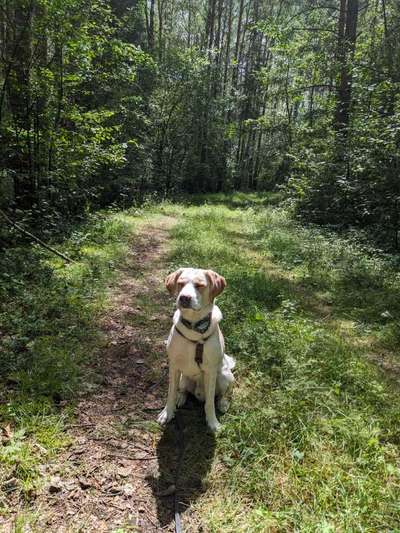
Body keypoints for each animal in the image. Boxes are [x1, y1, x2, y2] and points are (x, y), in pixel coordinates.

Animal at [158, 268, 236, 430]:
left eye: (200, 285)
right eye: (180, 283)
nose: (184, 298)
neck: (194, 329)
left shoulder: (211, 371)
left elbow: (210, 403)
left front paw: (212, 422)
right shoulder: (174, 366)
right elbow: (171, 393)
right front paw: (167, 413)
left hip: (225, 376)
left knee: (224, 393)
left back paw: (223, 403)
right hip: (183, 378)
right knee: (183, 390)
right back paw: (181, 398)